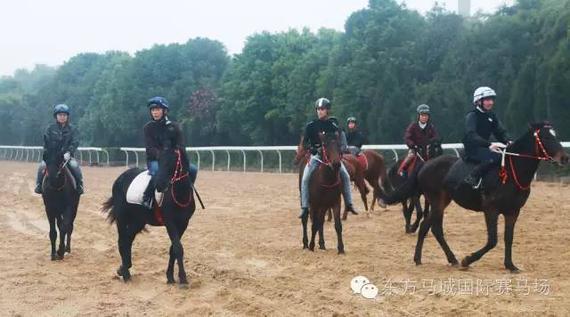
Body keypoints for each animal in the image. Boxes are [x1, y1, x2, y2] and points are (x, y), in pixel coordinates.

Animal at [103, 148, 196, 284]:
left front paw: (170, 277)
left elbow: (173, 249)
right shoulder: (170, 223)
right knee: (122, 240)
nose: (160, 184)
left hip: (138, 220)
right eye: (160, 161)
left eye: (172, 162)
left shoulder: (184, 223)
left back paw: (124, 268)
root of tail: (120, 178)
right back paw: (125, 274)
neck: (180, 195)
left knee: (128, 239)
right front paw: (183, 279)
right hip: (122, 217)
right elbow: (178, 248)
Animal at [378, 122, 564, 270]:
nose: (565, 158)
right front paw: (468, 260)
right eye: (546, 137)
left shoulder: (513, 211)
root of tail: (425, 164)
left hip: (441, 201)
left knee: (430, 227)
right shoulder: (491, 209)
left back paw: (441, 258)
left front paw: (510, 265)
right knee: (430, 226)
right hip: (436, 200)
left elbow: (508, 238)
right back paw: (430, 258)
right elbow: (492, 240)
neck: (511, 172)